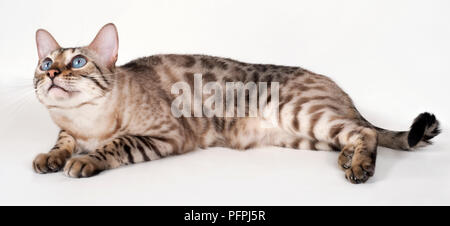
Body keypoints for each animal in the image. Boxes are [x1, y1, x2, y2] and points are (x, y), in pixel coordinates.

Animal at [33, 23, 442, 184]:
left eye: (78, 62)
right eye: (45, 63)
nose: (51, 74)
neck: (86, 122)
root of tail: (341, 90)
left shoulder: (165, 135)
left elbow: (114, 145)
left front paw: (83, 160)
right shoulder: (67, 129)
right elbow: (60, 142)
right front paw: (51, 158)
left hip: (300, 113)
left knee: (364, 132)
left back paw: (358, 167)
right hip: (305, 134)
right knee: (354, 134)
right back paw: (346, 157)